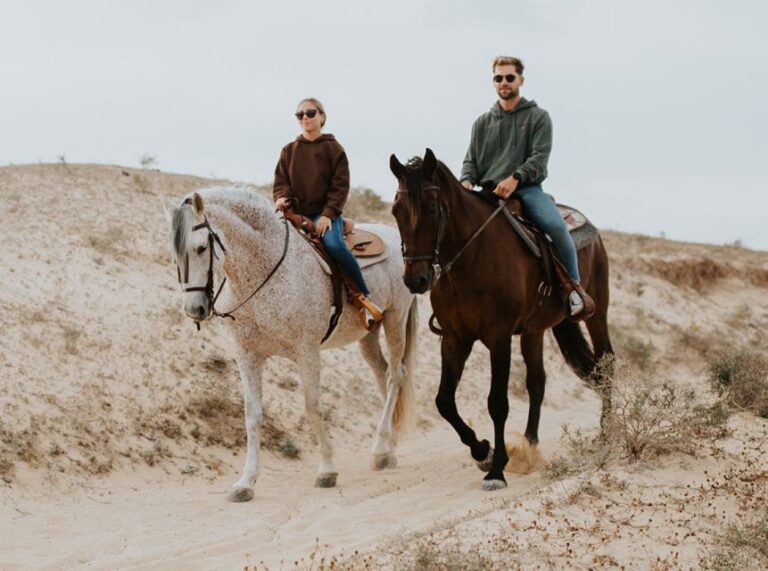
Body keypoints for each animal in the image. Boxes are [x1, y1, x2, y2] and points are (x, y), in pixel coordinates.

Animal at [164, 188, 420, 500]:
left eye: (201, 248)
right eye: (175, 253)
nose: (195, 309)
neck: (262, 271)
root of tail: (395, 237)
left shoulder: (307, 352)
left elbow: (313, 407)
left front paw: (327, 470)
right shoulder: (248, 356)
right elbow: (252, 415)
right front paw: (246, 482)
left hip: (396, 320)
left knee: (396, 376)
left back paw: (380, 449)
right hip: (369, 335)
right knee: (383, 374)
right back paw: (388, 448)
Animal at [390, 149, 612, 492]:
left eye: (431, 209)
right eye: (396, 211)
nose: (417, 279)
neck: (472, 258)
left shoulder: (498, 337)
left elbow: (497, 402)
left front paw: (496, 470)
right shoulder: (455, 339)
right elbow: (444, 401)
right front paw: (484, 451)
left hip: (597, 314)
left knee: (606, 367)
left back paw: (609, 434)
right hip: (534, 330)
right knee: (537, 381)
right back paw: (530, 445)